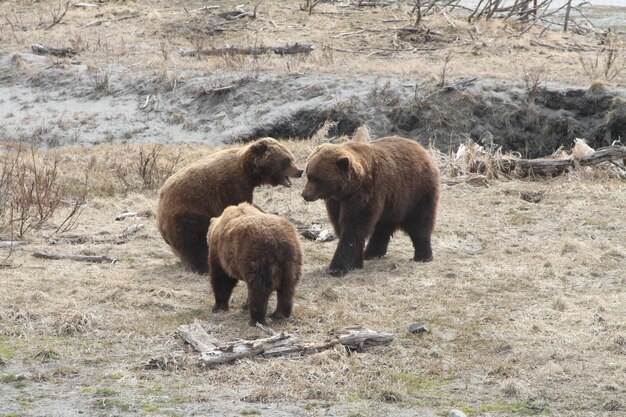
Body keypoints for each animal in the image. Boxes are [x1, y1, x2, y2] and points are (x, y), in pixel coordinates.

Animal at [156, 136, 302, 272]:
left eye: (291, 157)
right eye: (286, 160)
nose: (300, 171)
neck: (248, 172)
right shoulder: (230, 187)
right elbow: (236, 206)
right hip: (187, 214)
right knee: (193, 243)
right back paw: (203, 267)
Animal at [298, 135, 436, 274]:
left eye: (318, 179)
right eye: (308, 175)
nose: (305, 194)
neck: (348, 189)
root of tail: (421, 148)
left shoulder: (365, 194)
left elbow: (353, 226)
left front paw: (337, 267)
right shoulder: (337, 201)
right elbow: (340, 224)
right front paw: (355, 262)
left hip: (416, 192)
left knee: (419, 223)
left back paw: (423, 256)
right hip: (391, 204)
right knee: (382, 228)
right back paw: (372, 253)